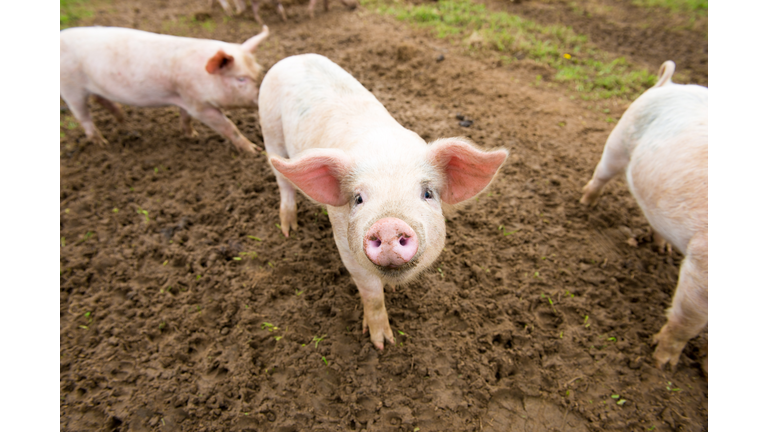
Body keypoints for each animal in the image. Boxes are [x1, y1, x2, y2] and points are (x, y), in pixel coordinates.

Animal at [60, 24, 270, 154]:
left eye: (258, 71)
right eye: (241, 78)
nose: (261, 96)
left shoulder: (184, 98)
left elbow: (185, 117)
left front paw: (192, 135)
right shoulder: (198, 105)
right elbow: (228, 126)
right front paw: (254, 150)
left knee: (102, 100)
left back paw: (124, 123)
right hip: (71, 88)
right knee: (83, 116)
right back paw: (102, 143)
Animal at [260, 54, 510, 352]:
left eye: (427, 193)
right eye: (358, 198)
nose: (389, 225)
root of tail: (294, 57)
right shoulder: (345, 244)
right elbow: (371, 292)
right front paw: (382, 344)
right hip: (269, 130)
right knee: (283, 181)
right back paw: (289, 229)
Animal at [584, 61, 708, 374]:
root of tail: (670, 83)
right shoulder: (702, 261)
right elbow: (687, 320)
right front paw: (662, 365)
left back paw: (661, 249)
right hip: (617, 142)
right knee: (600, 175)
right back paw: (586, 204)